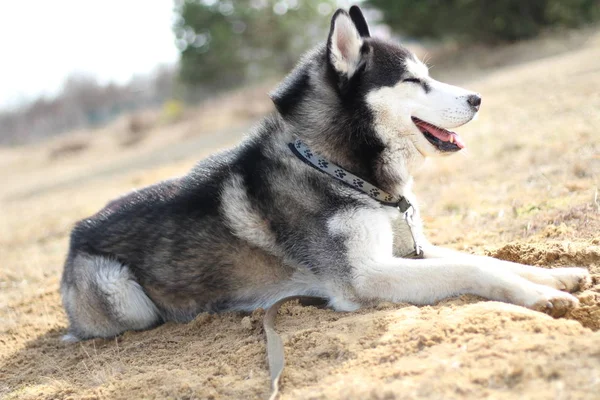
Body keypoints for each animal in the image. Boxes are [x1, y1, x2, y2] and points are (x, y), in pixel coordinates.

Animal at [62, 6, 592, 340]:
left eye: (428, 74)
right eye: (413, 81)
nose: (478, 98)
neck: (335, 169)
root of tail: (74, 233)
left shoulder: (408, 249)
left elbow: (486, 257)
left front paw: (558, 275)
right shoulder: (366, 276)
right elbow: (472, 266)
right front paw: (539, 297)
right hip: (122, 294)